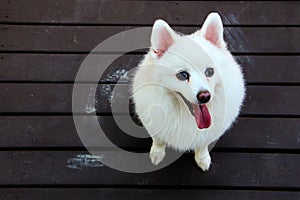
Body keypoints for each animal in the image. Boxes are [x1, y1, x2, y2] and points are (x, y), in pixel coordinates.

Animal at [132, 12, 245, 171]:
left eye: (210, 72)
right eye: (183, 75)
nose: (204, 96)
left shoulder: (208, 133)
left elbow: (203, 145)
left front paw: (202, 159)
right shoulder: (154, 124)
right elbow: (158, 140)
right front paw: (157, 154)